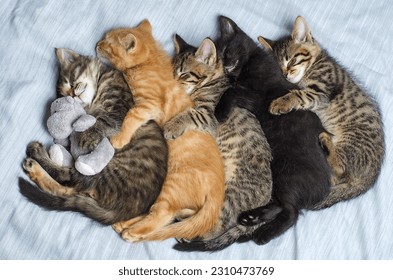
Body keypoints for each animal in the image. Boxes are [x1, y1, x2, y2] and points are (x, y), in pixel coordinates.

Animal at [19, 47, 168, 223]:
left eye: (71, 81)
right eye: (65, 95)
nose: (73, 94)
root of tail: (125, 212)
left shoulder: (117, 108)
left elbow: (100, 121)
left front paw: (84, 137)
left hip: (103, 171)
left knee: (68, 179)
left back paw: (35, 158)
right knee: (69, 187)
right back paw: (34, 165)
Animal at [95, 19, 225, 241]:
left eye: (107, 43)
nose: (97, 44)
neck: (149, 63)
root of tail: (218, 193)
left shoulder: (149, 105)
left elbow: (131, 116)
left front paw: (120, 139)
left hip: (171, 185)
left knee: (161, 214)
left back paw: (132, 232)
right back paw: (125, 224)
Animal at [168, 35, 272, 252]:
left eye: (183, 74)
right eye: (172, 72)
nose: (172, 83)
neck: (212, 81)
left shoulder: (209, 115)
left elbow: (187, 113)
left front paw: (170, 126)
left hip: (229, 196)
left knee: (211, 225)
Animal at [216, 15, 332, 245]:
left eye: (226, 51)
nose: (225, 66)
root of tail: (325, 189)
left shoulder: (257, 96)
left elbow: (230, 91)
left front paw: (220, 112)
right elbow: (231, 89)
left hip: (286, 175)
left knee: (291, 212)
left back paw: (263, 234)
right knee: (282, 206)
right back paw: (251, 218)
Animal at [258, 15, 384, 208]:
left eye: (291, 60)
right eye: (279, 68)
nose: (285, 74)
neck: (314, 64)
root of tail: (370, 178)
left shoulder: (322, 92)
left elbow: (299, 94)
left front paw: (280, 102)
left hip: (350, 142)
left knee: (340, 168)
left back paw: (325, 140)